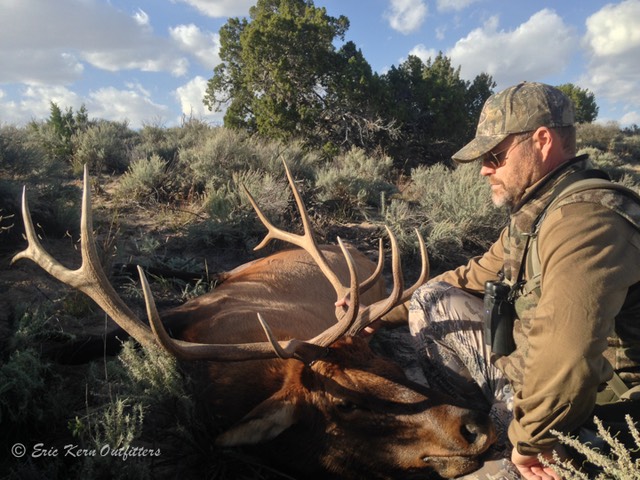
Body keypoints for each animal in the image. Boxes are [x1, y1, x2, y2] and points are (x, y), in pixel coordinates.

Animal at [13, 163, 496, 478]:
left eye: (392, 365)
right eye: (345, 402)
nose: (476, 425)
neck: (225, 386)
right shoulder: (194, 312)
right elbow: (93, 339)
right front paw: (41, 348)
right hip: (236, 275)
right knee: (209, 271)